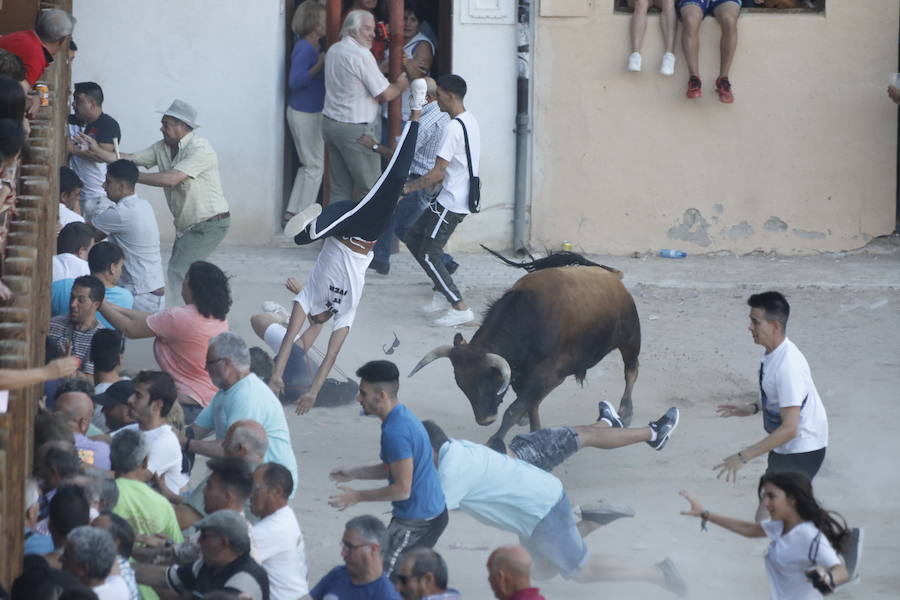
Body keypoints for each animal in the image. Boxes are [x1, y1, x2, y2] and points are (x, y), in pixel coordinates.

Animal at [408, 246, 640, 448]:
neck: (530, 317)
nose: (485, 419)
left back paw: (626, 412)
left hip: (630, 338)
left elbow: (516, 408)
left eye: (490, 379)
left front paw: (496, 440)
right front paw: (534, 430)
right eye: (461, 384)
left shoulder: (549, 375)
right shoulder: (521, 376)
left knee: (631, 371)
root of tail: (612, 277)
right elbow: (530, 404)